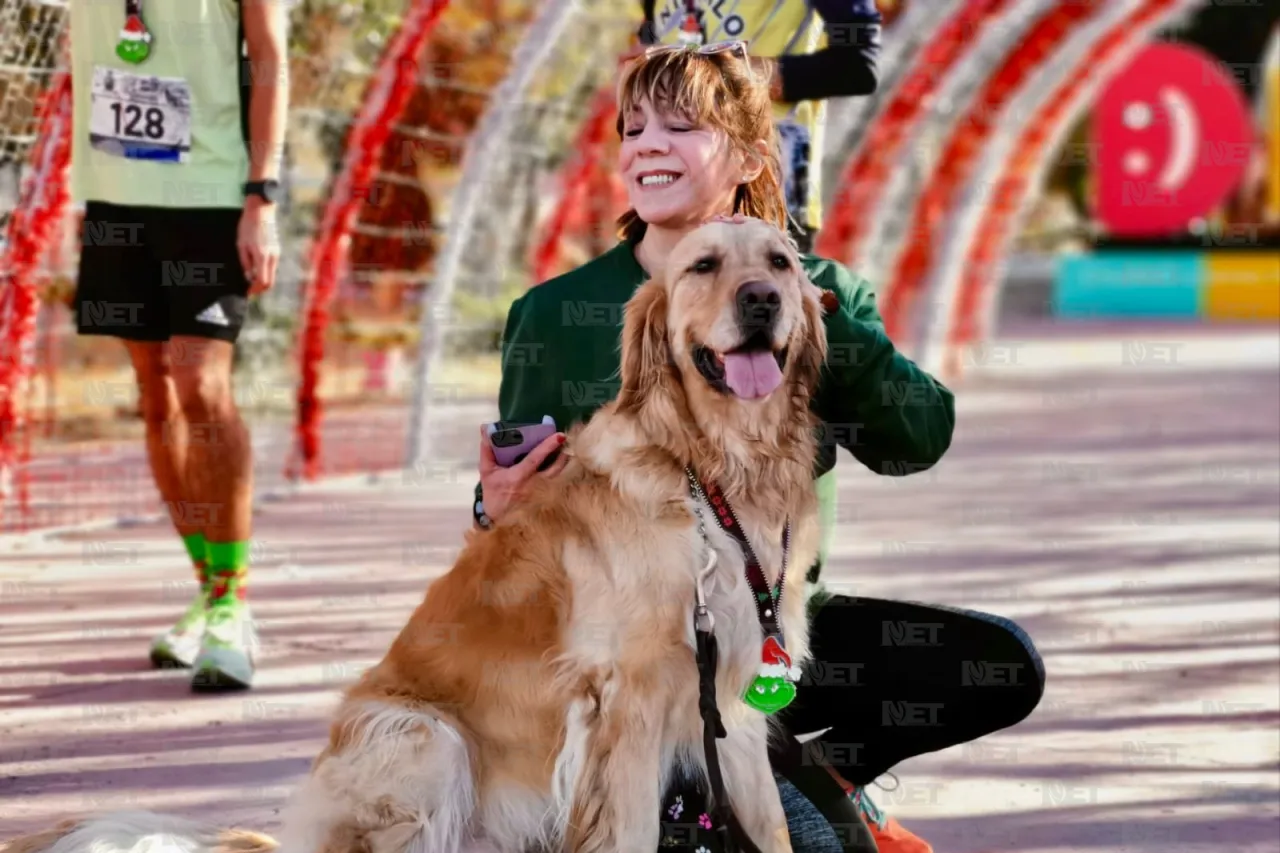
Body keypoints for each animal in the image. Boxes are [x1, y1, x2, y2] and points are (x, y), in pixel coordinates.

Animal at [0, 217, 829, 850]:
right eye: (703, 264)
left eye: (780, 262)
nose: (761, 299)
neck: (709, 469)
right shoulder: (626, 700)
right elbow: (629, 830)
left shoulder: (734, 705)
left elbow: (771, 830)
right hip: (425, 737)